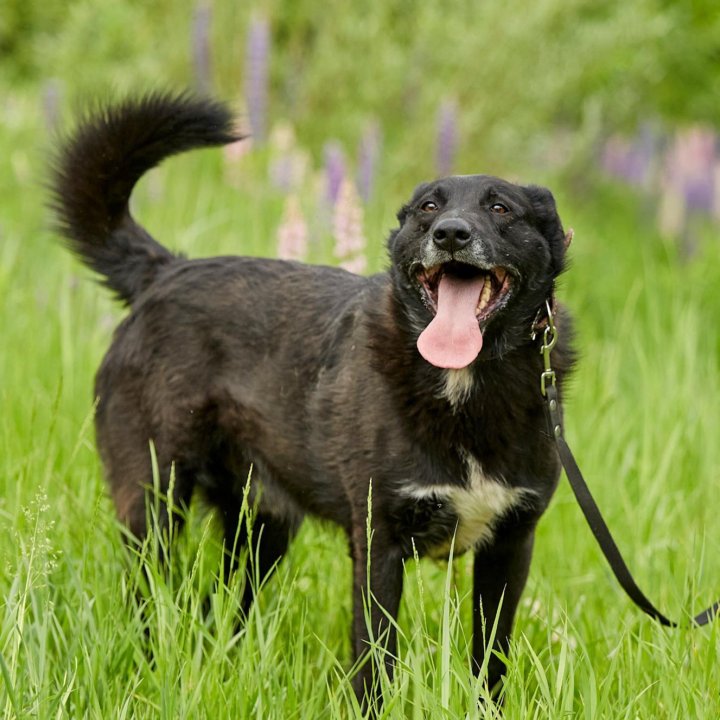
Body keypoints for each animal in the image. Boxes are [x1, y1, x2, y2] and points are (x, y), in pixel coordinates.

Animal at [52, 93, 572, 704]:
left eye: (500, 208)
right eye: (428, 207)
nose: (450, 234)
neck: (464, 388)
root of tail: (167, 271)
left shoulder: (510, 545)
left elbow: (491, 658)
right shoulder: (378, 543)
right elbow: (374, 659)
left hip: (262, 532)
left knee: (212, 610)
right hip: (156, 503)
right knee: (150, 601)